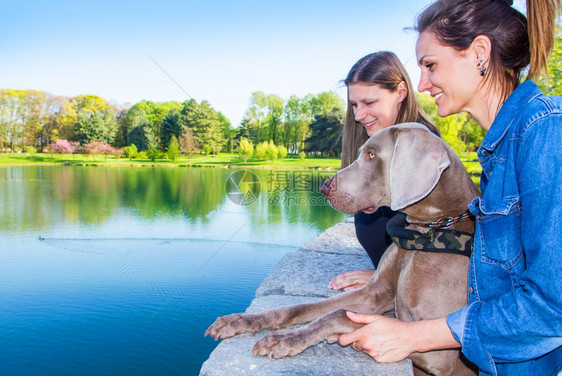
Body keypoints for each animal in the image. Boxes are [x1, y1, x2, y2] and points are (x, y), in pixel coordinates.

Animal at [206, 124, 476, 376]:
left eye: (371, 155)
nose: (324, 188)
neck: (427, 230)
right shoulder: (373, 294)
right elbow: (306, 308)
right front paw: (242, 320)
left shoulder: (439, 353)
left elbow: (340, 315)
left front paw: (286, 339)